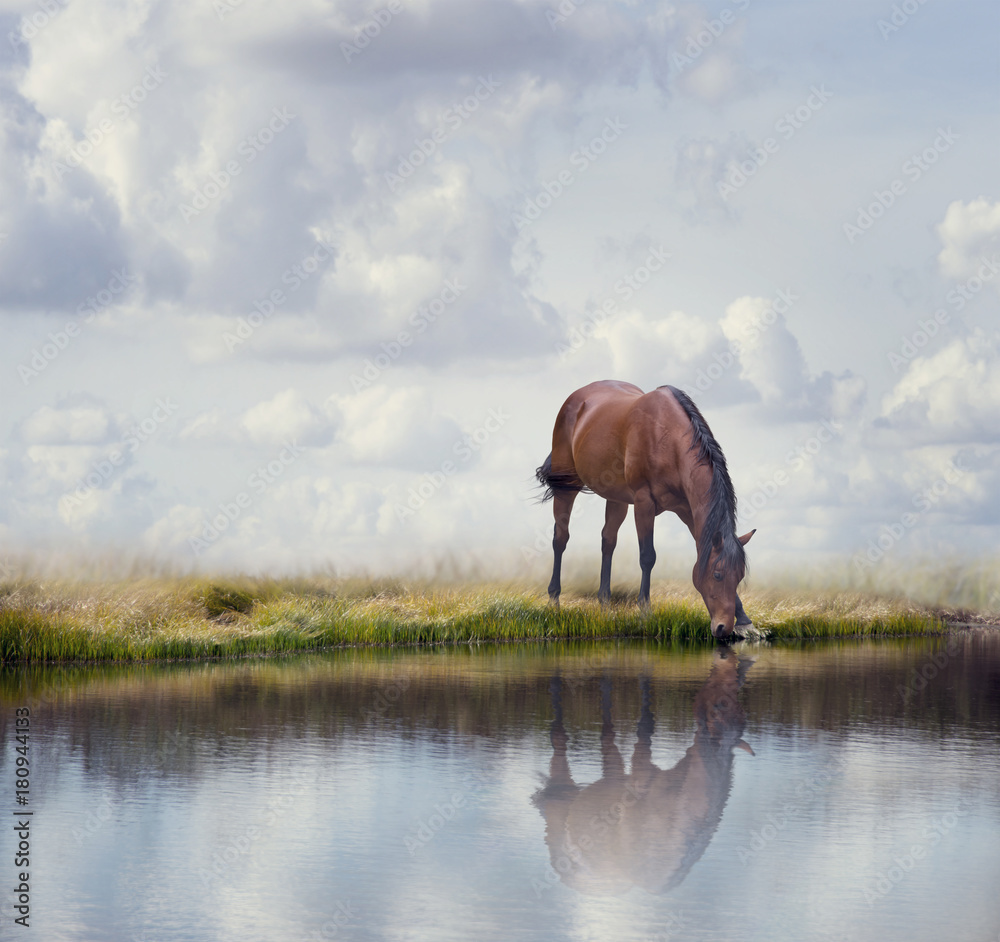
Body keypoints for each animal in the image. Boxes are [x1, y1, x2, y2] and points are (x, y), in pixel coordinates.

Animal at [536, 382, 752, 640]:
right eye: (717, 575)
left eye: (739, 576)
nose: (723, 628)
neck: (666, 439)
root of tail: (575, 398)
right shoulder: (643, 503)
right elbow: (648, 556)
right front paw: (645, 612)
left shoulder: (689, 511)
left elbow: (704, 548)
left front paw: (744, 619)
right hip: (567, 487)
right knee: (560, 539)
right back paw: (554, 601)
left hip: (616, 497)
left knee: (608, 541)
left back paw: (604, 604)